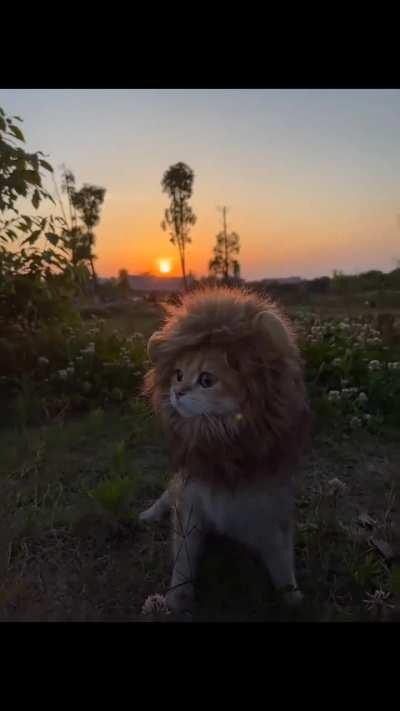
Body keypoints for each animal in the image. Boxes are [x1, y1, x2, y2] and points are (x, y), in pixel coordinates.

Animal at [139, 286, 310, 617]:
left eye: (207, 380)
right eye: (177, 374)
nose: (176, 392)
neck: (220, 441)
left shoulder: (270, 509)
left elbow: (282, 561)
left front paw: (293, 601)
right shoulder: (190, 503)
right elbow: (184, 562)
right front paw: (176, 601)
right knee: (166, 495)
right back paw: (149, 514)